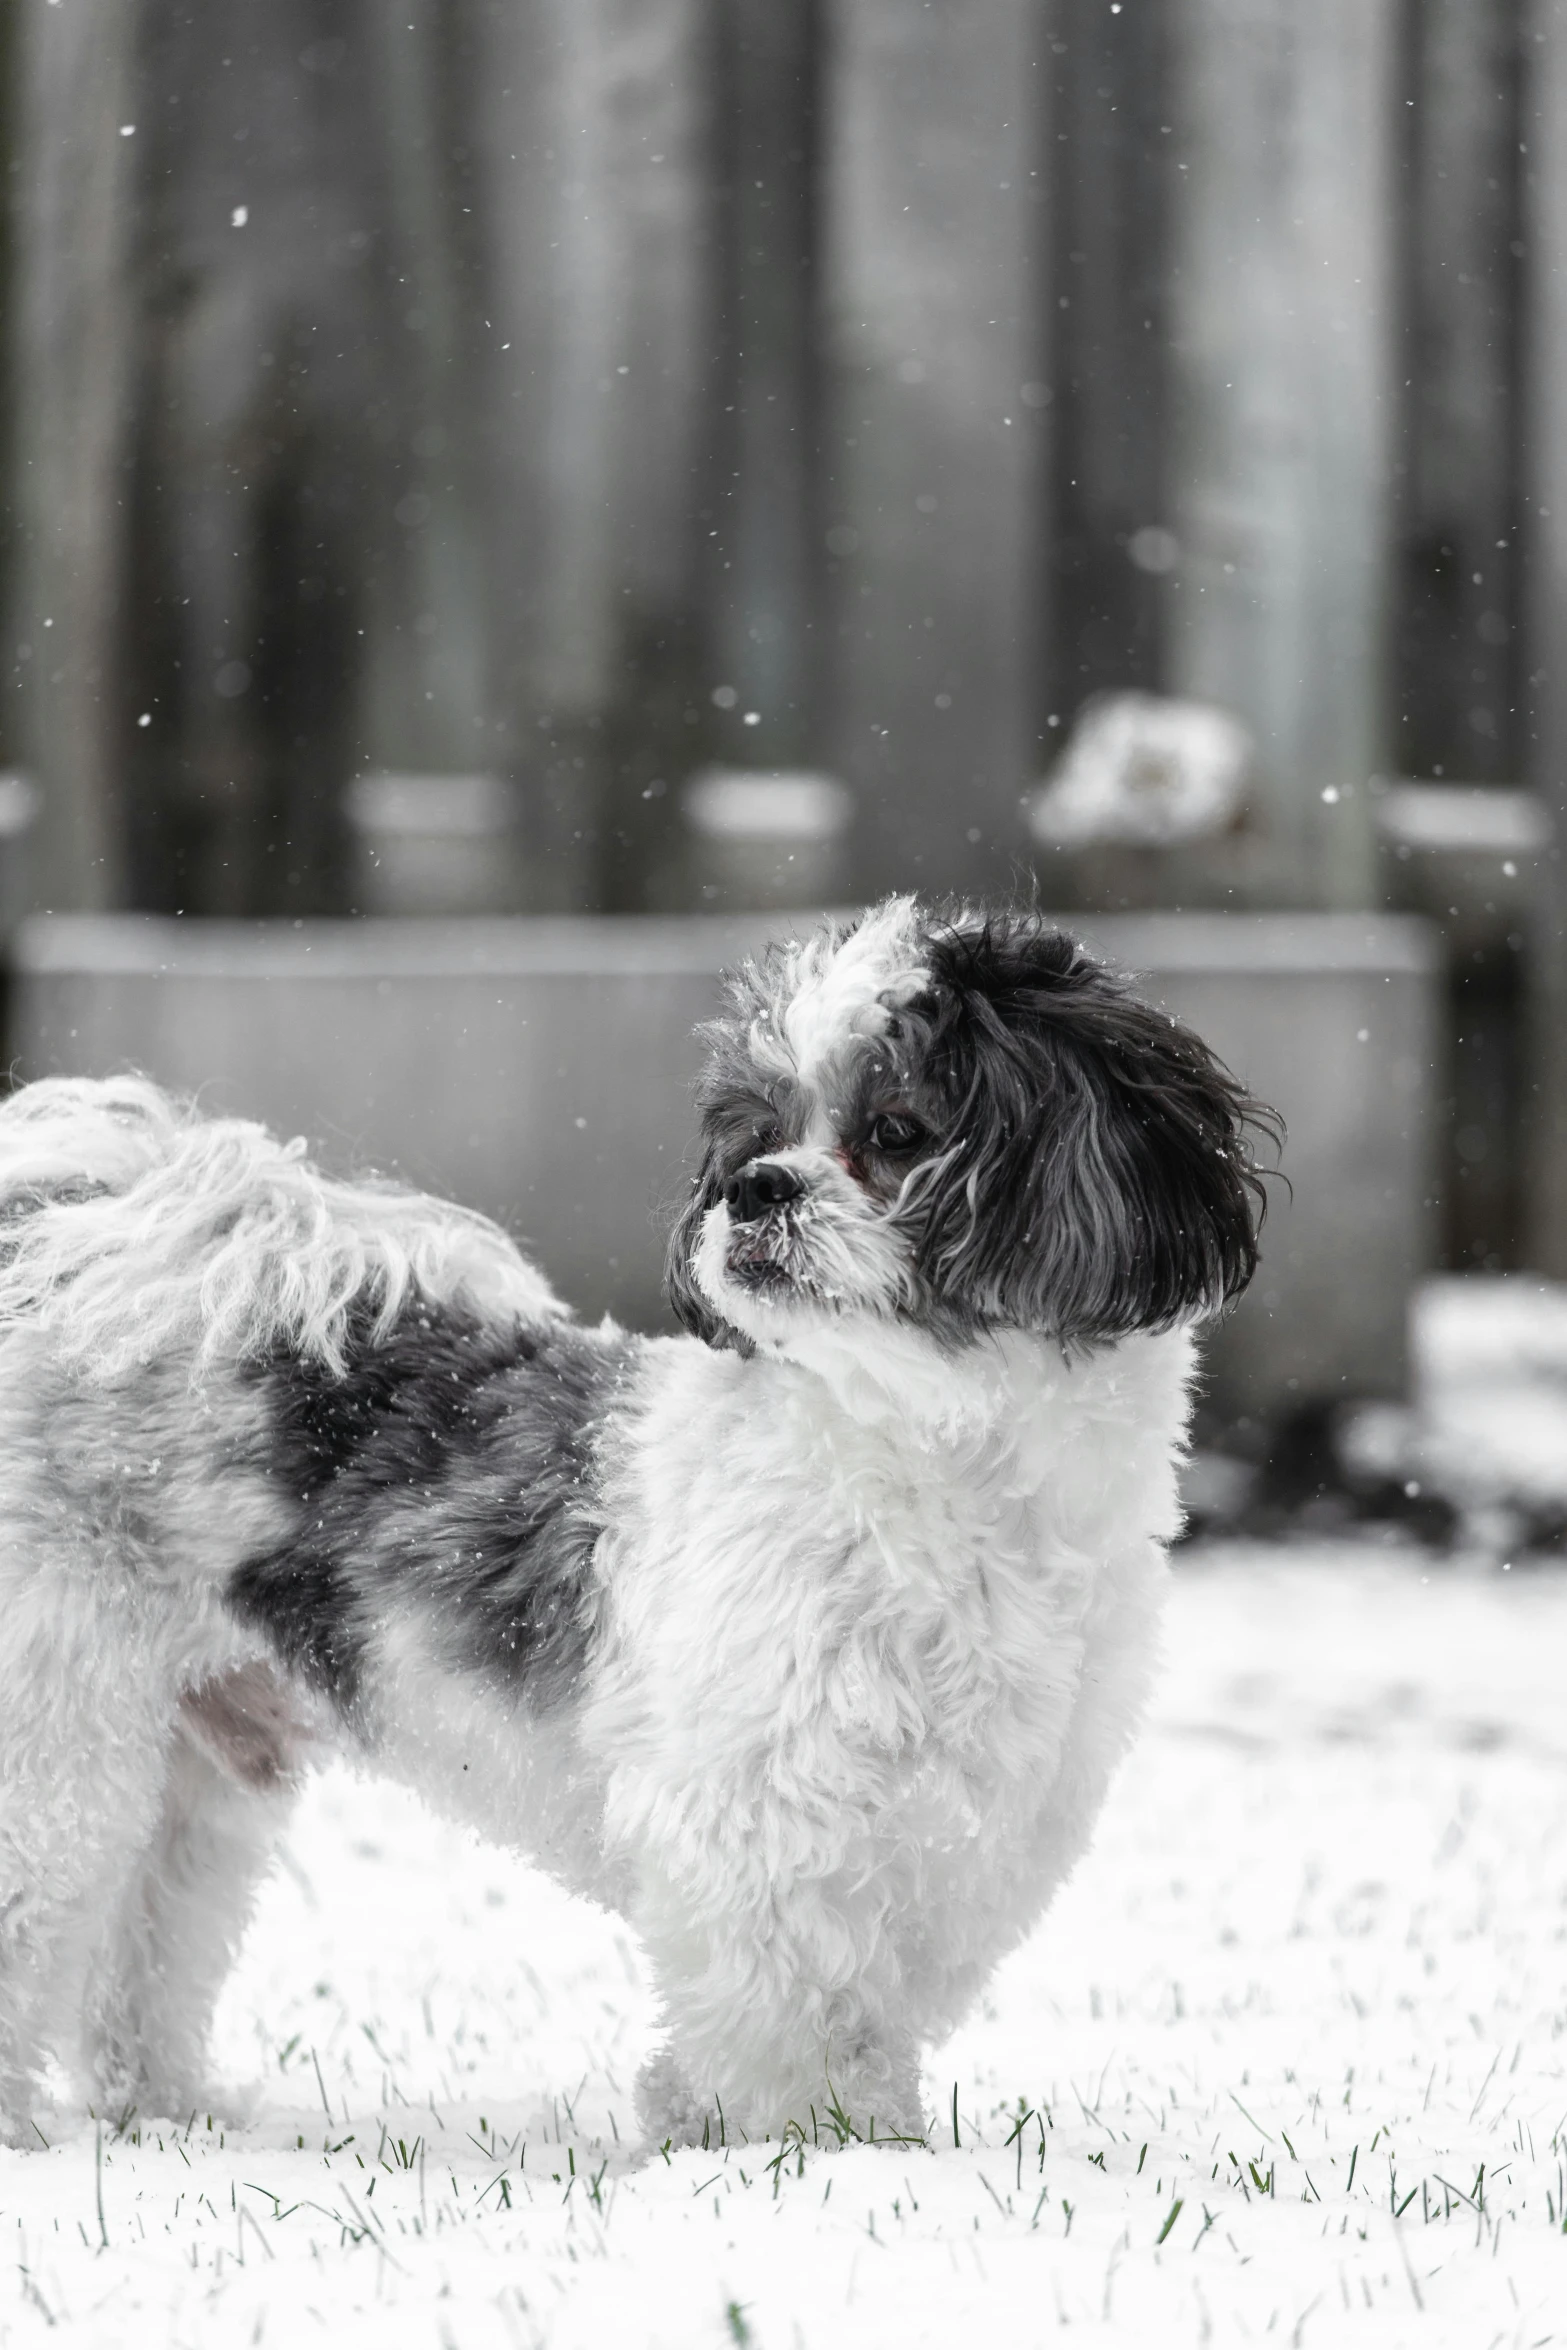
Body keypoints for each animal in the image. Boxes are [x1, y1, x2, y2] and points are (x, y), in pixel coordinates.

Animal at [0, 897, 1278, 2152]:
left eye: (899, 1129)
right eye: (756, 1135)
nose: (758, 1188)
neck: (930, 1469)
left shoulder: (969, 1836)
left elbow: (872, 2004)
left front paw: (862, 2137)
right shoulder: (755, 1819)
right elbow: (786, 2009)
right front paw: (785, 2147)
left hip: (194, 1766)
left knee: (149, 1933)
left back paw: (167, 2111)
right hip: (53, 1738)